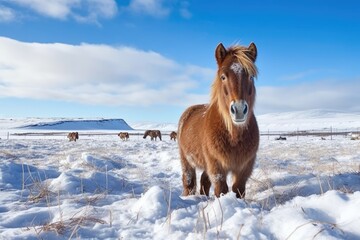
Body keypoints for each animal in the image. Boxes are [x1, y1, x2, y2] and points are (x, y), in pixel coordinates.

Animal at [177, 41, 258, 199]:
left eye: (251, 76)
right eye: (223, 77)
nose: (239, 110)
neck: (233, 136)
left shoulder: (245, 167)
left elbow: (238, 189)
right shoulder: (216, 166)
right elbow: (221, 190)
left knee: (203, 181)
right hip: (186, 160)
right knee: (189, 182)